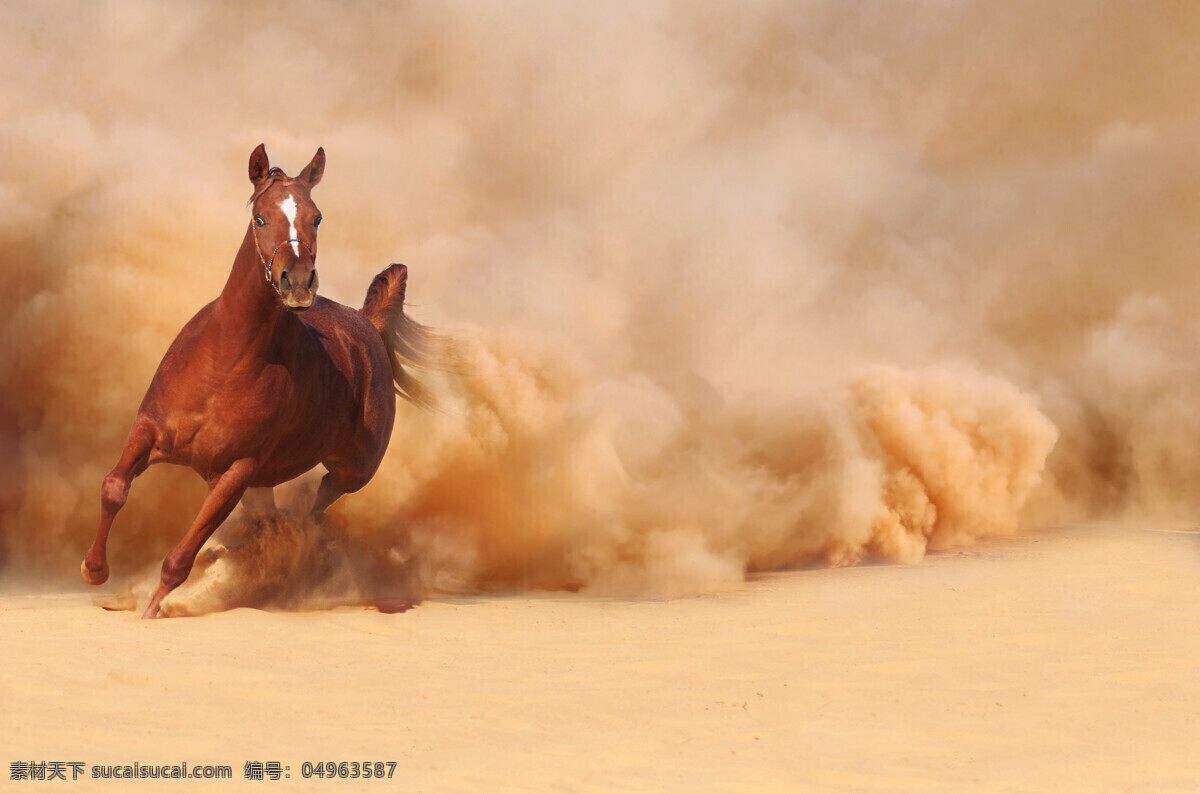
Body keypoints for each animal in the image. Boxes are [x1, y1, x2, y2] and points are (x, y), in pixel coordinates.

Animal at [81, 146, 436, 618]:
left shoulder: (238, 470)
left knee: (317, 505)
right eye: (262, 218)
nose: (298, 283)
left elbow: (183, 554)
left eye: (316, 217)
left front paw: (152, 608)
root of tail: (368, 324)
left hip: (352, 469)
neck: (222, 365)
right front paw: (93, 569)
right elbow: (114, 488)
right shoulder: (149, 428)